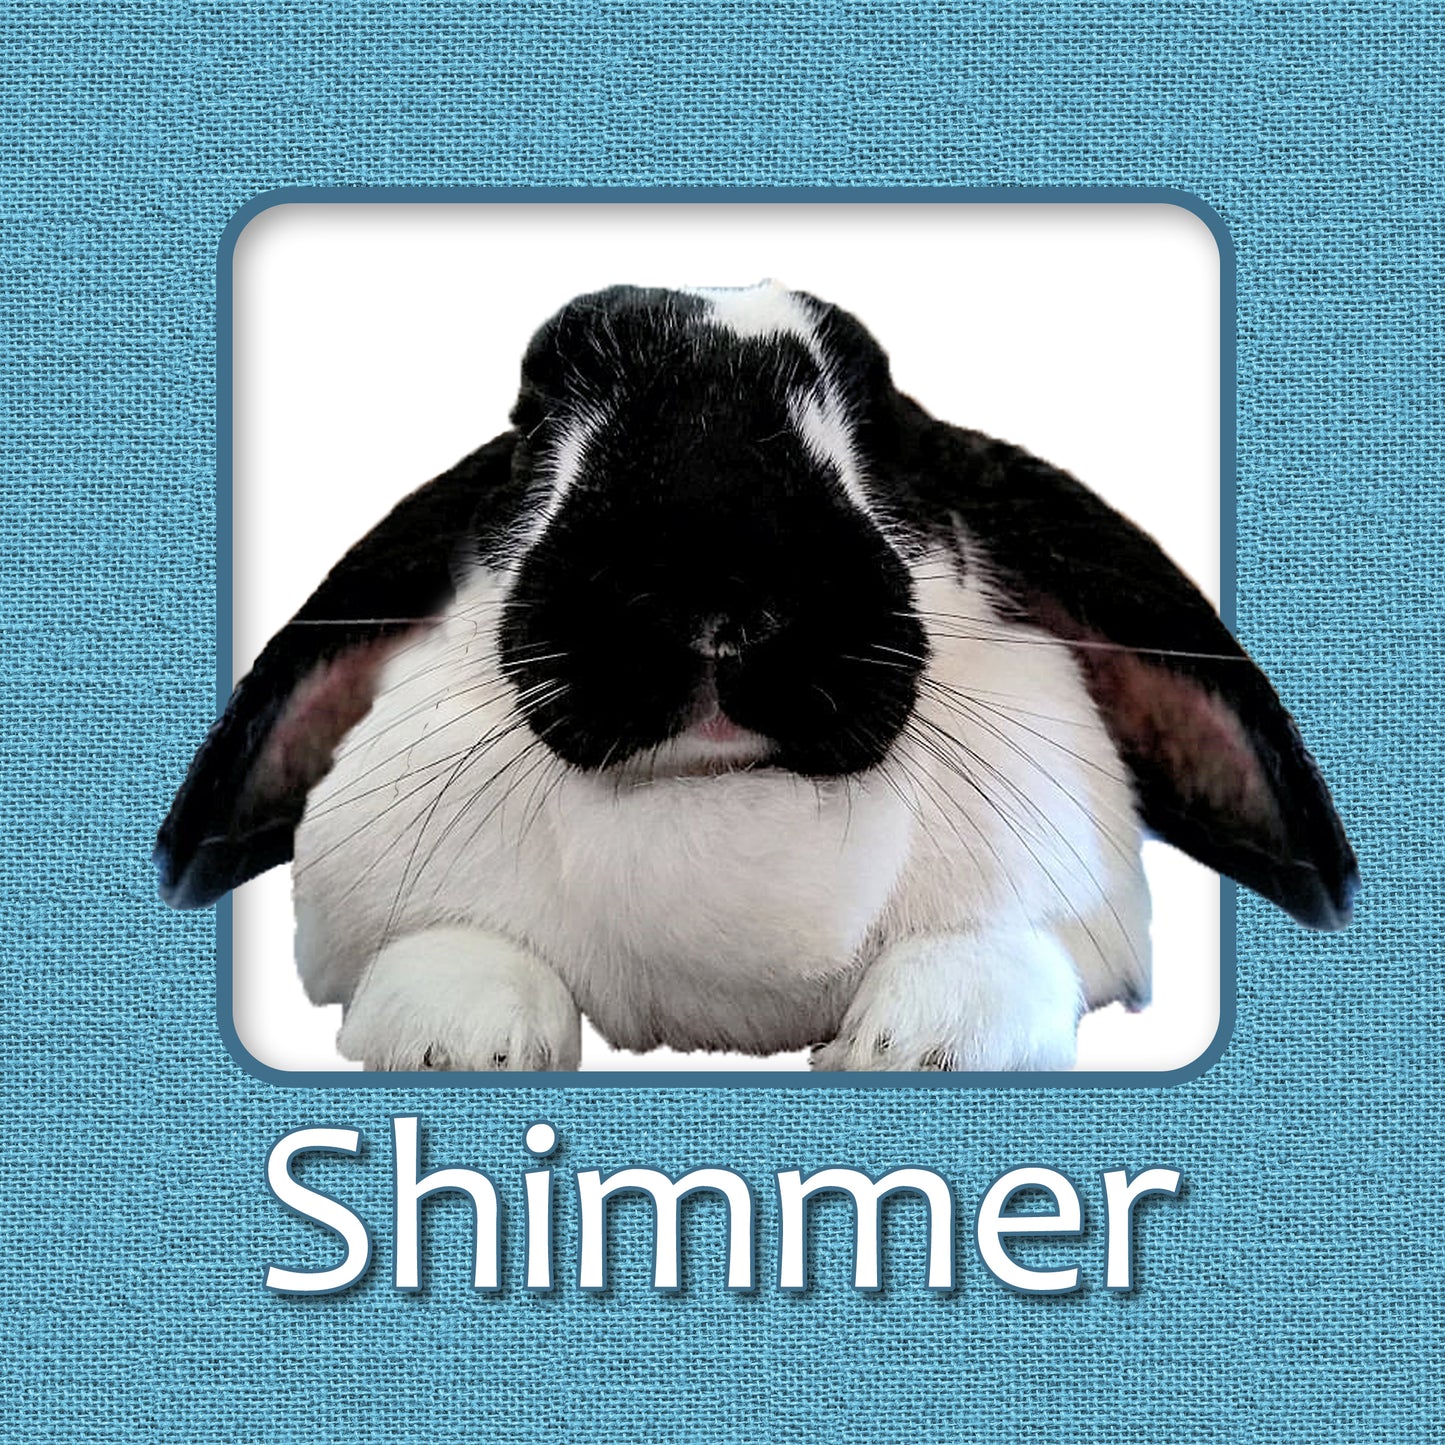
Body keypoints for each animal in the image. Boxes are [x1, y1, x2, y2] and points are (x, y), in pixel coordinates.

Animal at [156, 280, 1358, 1072]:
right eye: (531, 420)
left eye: (875, 421)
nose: (715, 596)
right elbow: (439, 960)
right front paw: (466, 1037)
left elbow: (997, 964)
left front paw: (910, 1044)